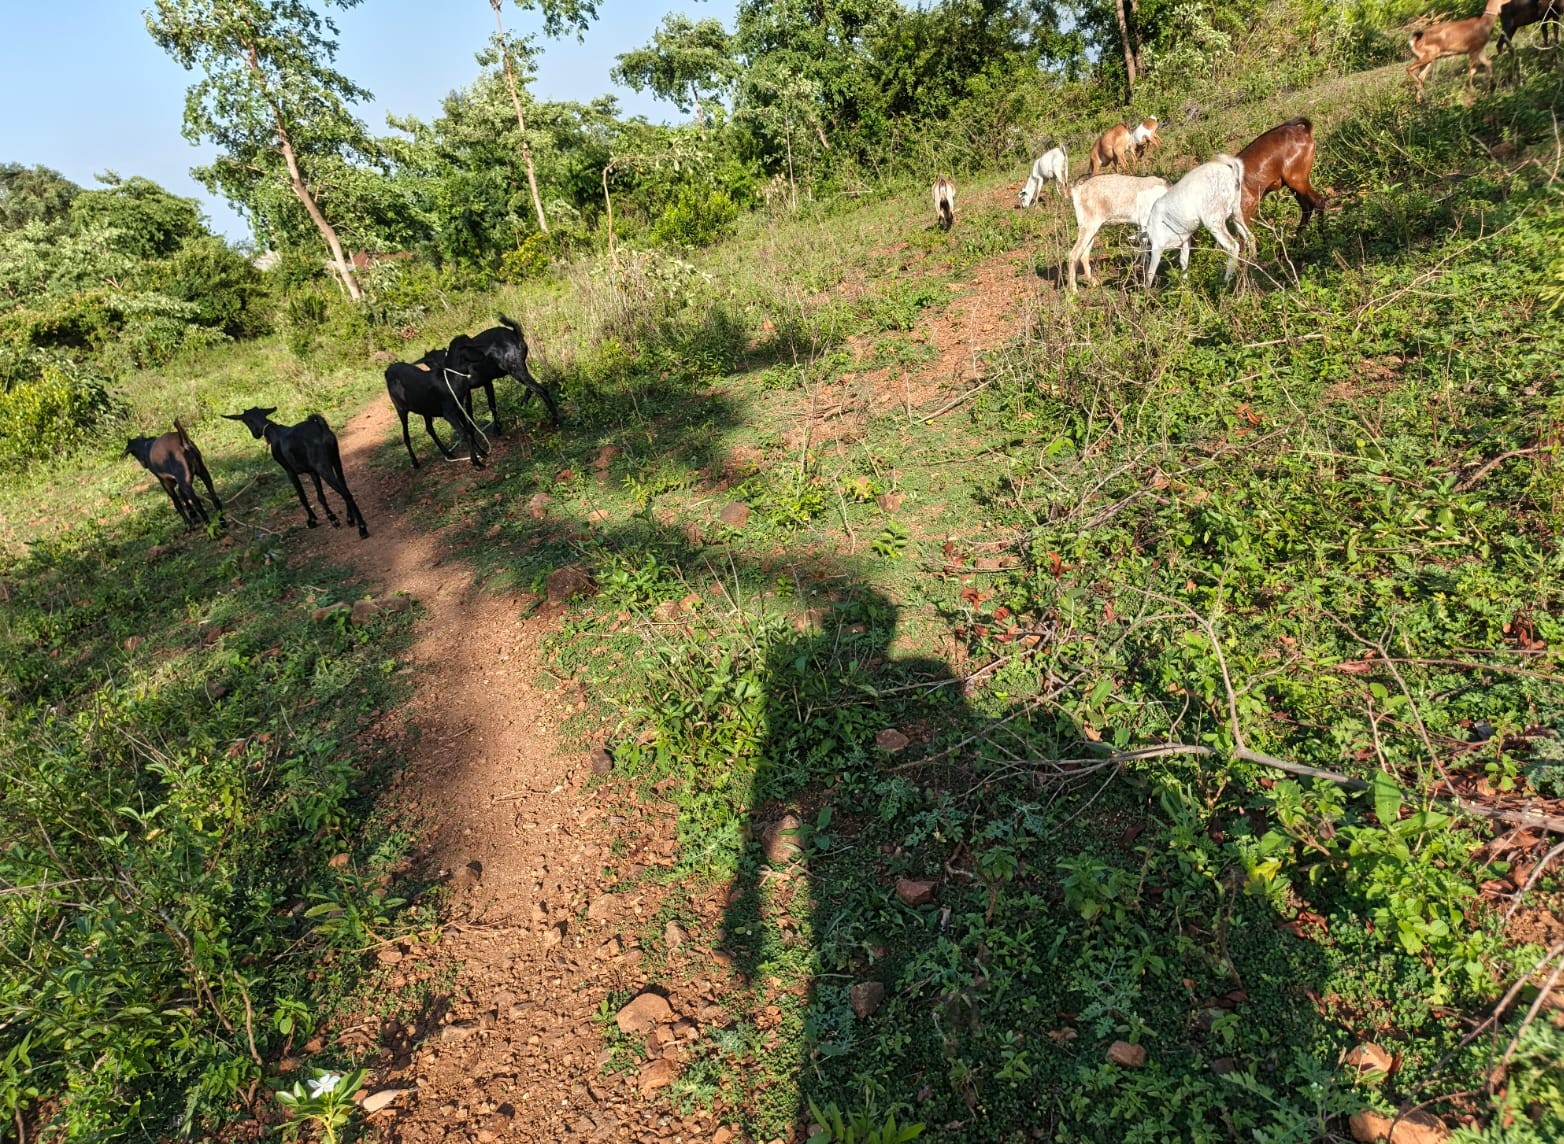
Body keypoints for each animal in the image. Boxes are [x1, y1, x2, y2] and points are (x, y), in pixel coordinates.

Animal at [223, 407, 368, 539]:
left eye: (245, 421)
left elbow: (302, 497)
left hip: (323, 467)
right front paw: (332, 518)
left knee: (346, 494)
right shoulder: (312, 471)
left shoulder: (290, 471)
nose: (255, 435)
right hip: (336, 460)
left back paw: (362, 529)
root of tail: (321, 428)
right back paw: (350, 519)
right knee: (345, 487)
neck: (273, 431)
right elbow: (320, 496)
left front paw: (312, 520)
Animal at [1140, 155, 1254, 288]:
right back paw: (1252, 264)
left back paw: (1226, 282)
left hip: (1213, 220)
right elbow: (1183, 261)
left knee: (1233, 246)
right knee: (1249, 236)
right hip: (1235, 212)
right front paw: (1185, 285)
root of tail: (1232, 171)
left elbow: (1151, 273)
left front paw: (1146, 290)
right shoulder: (1185, 238)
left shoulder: (1158, 246)